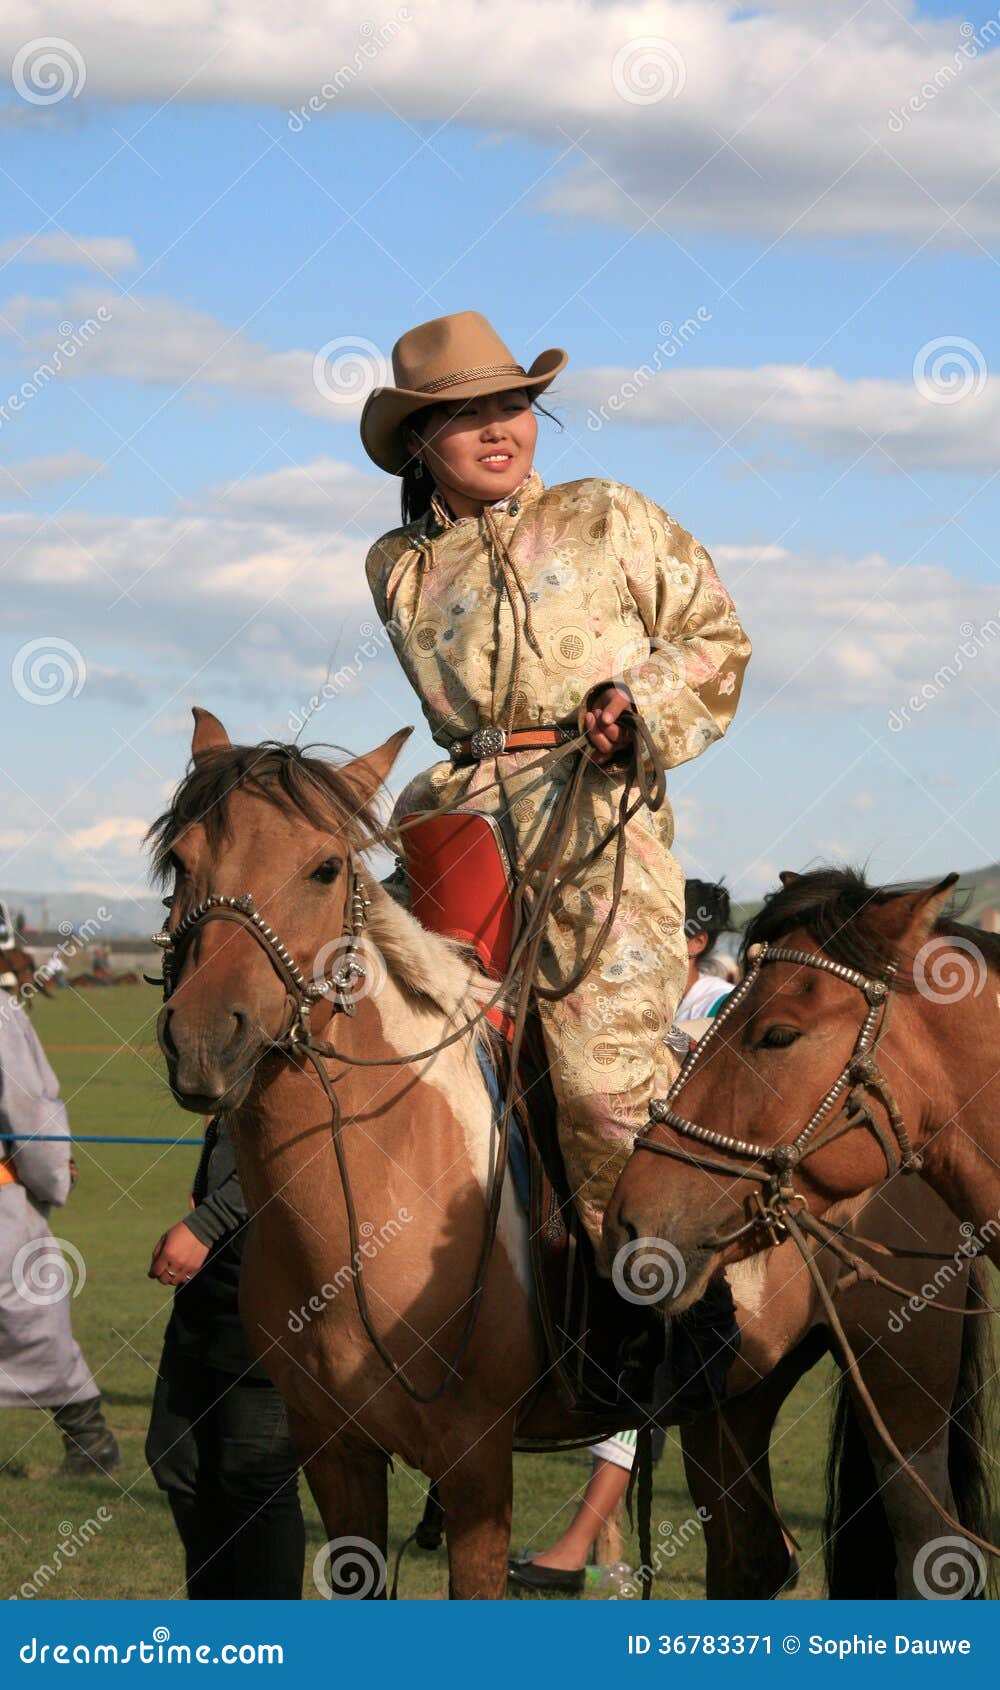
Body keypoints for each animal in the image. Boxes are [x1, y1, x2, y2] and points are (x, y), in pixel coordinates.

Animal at [150, 726, 993, 1595]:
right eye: (180, 860)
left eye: (324, 867)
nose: (206, 1036)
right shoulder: (333, 1451)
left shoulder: (475, 1460)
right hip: (733, 1405)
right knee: (753, 1559)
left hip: (903, 1389)